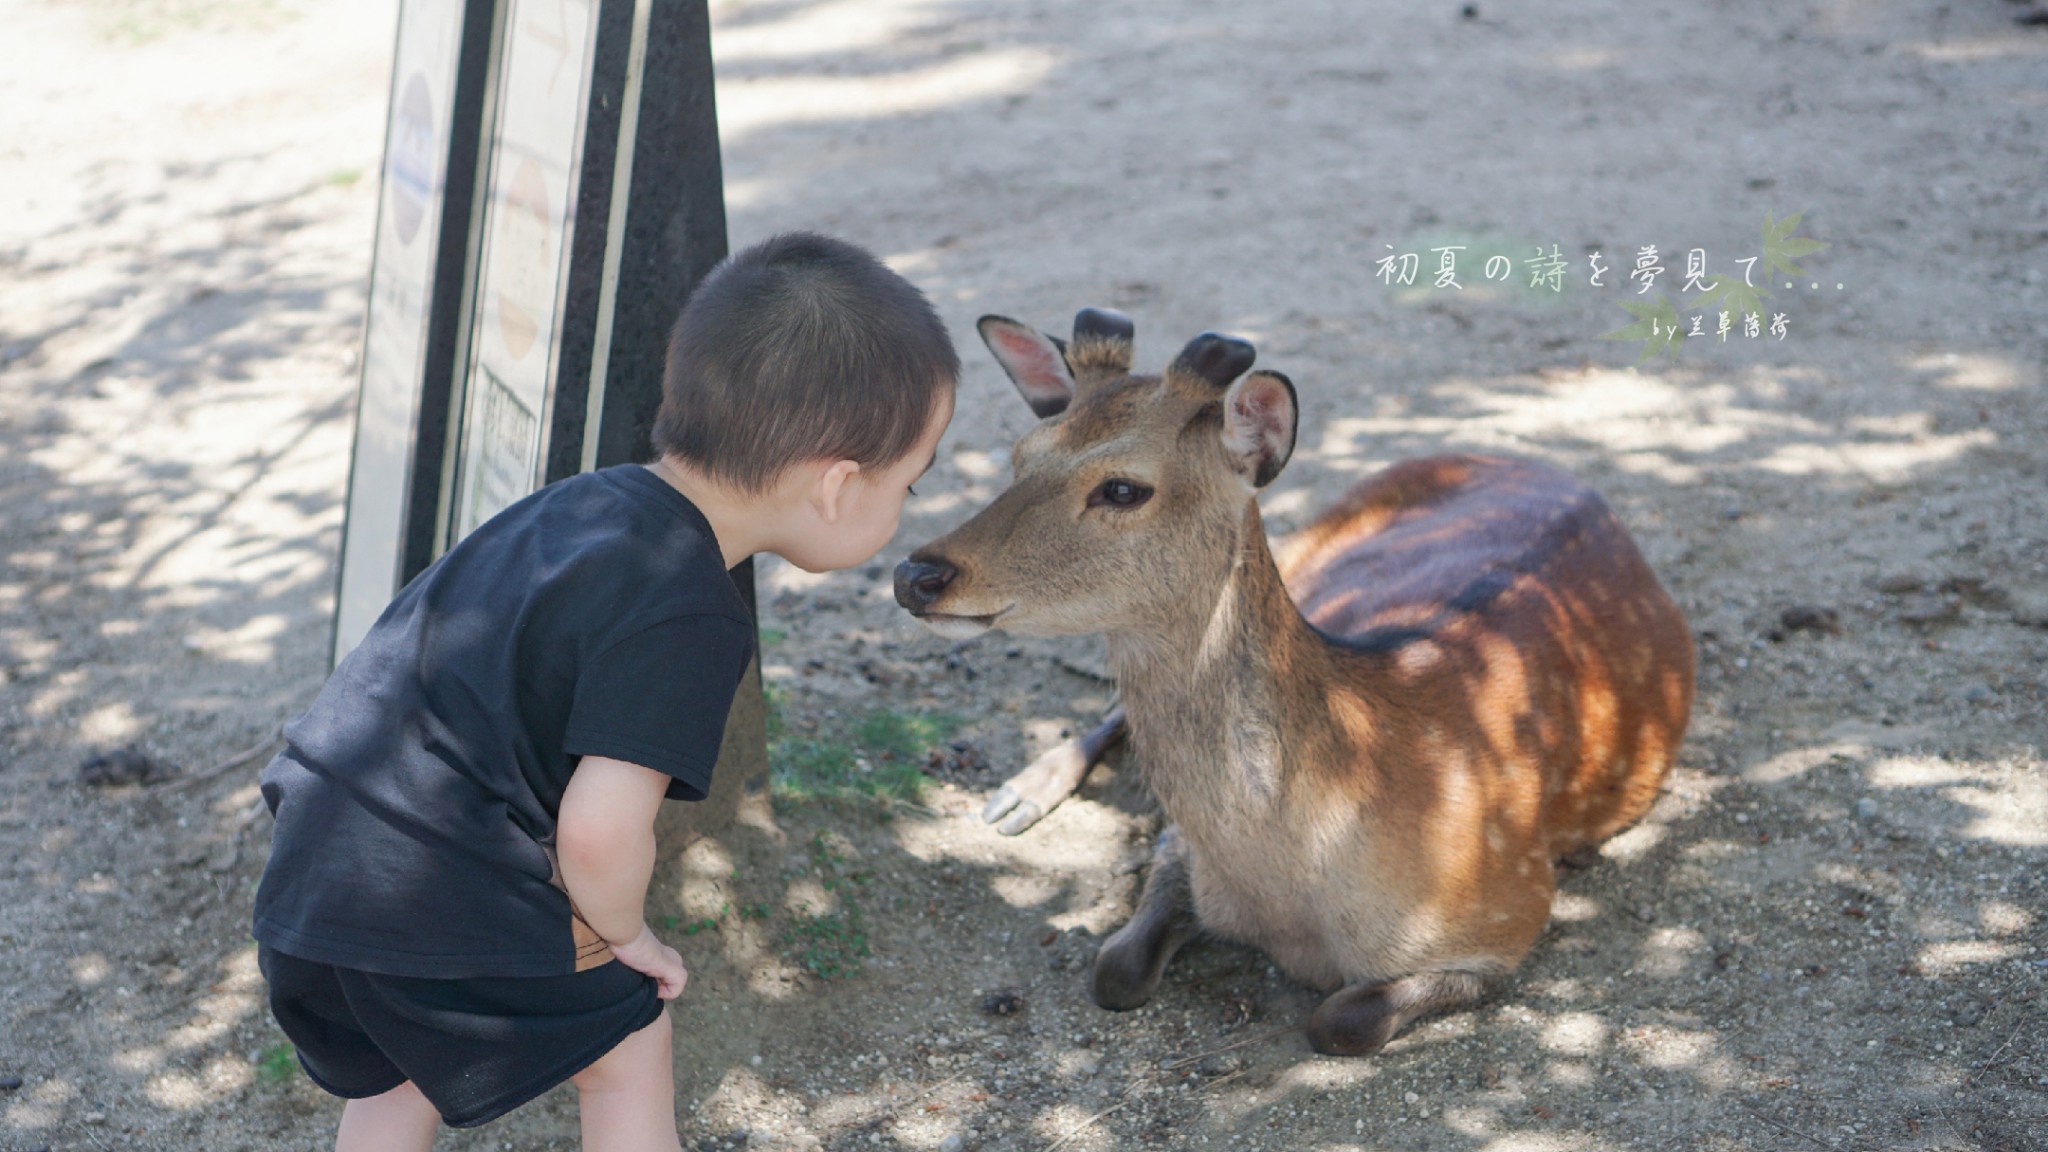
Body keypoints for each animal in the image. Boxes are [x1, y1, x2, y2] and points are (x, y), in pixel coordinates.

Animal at [897, 307, 1695, 1057]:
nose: (917, 574)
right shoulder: (1184, 848)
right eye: (1019, 456)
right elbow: (1114, 969)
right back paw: (1018, 795)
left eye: (1123, 488)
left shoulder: (1510, 912)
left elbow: (1341, 1021)